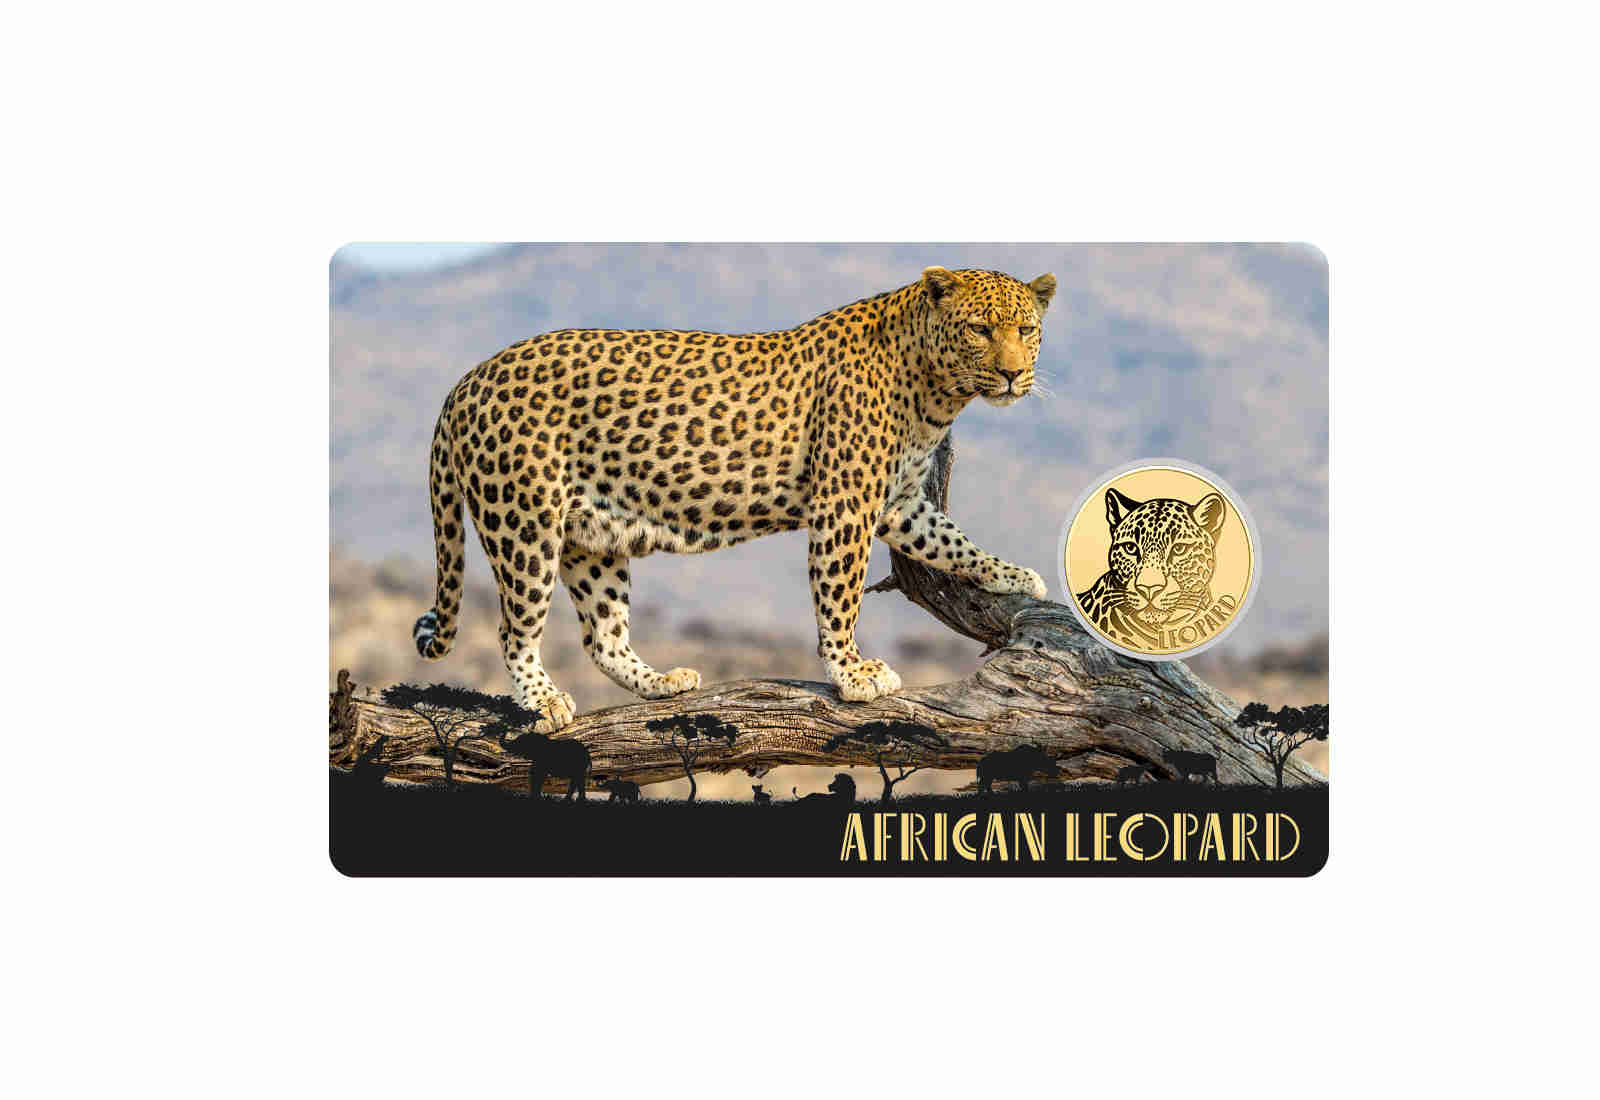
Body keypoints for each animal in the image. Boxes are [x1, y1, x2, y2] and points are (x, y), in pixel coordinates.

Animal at [412, 266, 1056, 733]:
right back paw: (543, 701)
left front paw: (1013, 575)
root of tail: (465, 381)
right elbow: (840, 595)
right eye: (979, 330)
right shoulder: (845, 504)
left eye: (1025, 331)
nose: (1011, 374)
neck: (935, 392)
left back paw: (660, 683)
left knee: (603, 636)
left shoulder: (897, 501)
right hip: (524, 523)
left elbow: (952, 540)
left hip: (591, 538)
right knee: (514, 630)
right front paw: (851, 673)